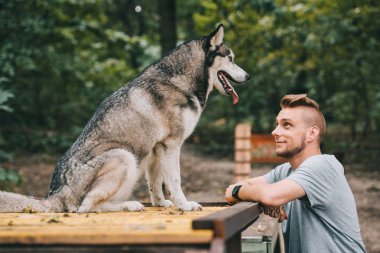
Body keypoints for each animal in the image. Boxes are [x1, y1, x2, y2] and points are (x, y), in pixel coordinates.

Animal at [0, 24, 251, 212]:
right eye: (231, 58)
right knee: (87, 207)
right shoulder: (172, 146)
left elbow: (156, 183)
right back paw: (129, 205)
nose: (248, 76)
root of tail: (55, 194)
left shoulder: (156, 149)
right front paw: (185, 205)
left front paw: (160, 203)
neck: (180, 82)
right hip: (124, 156)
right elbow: (175, 181)